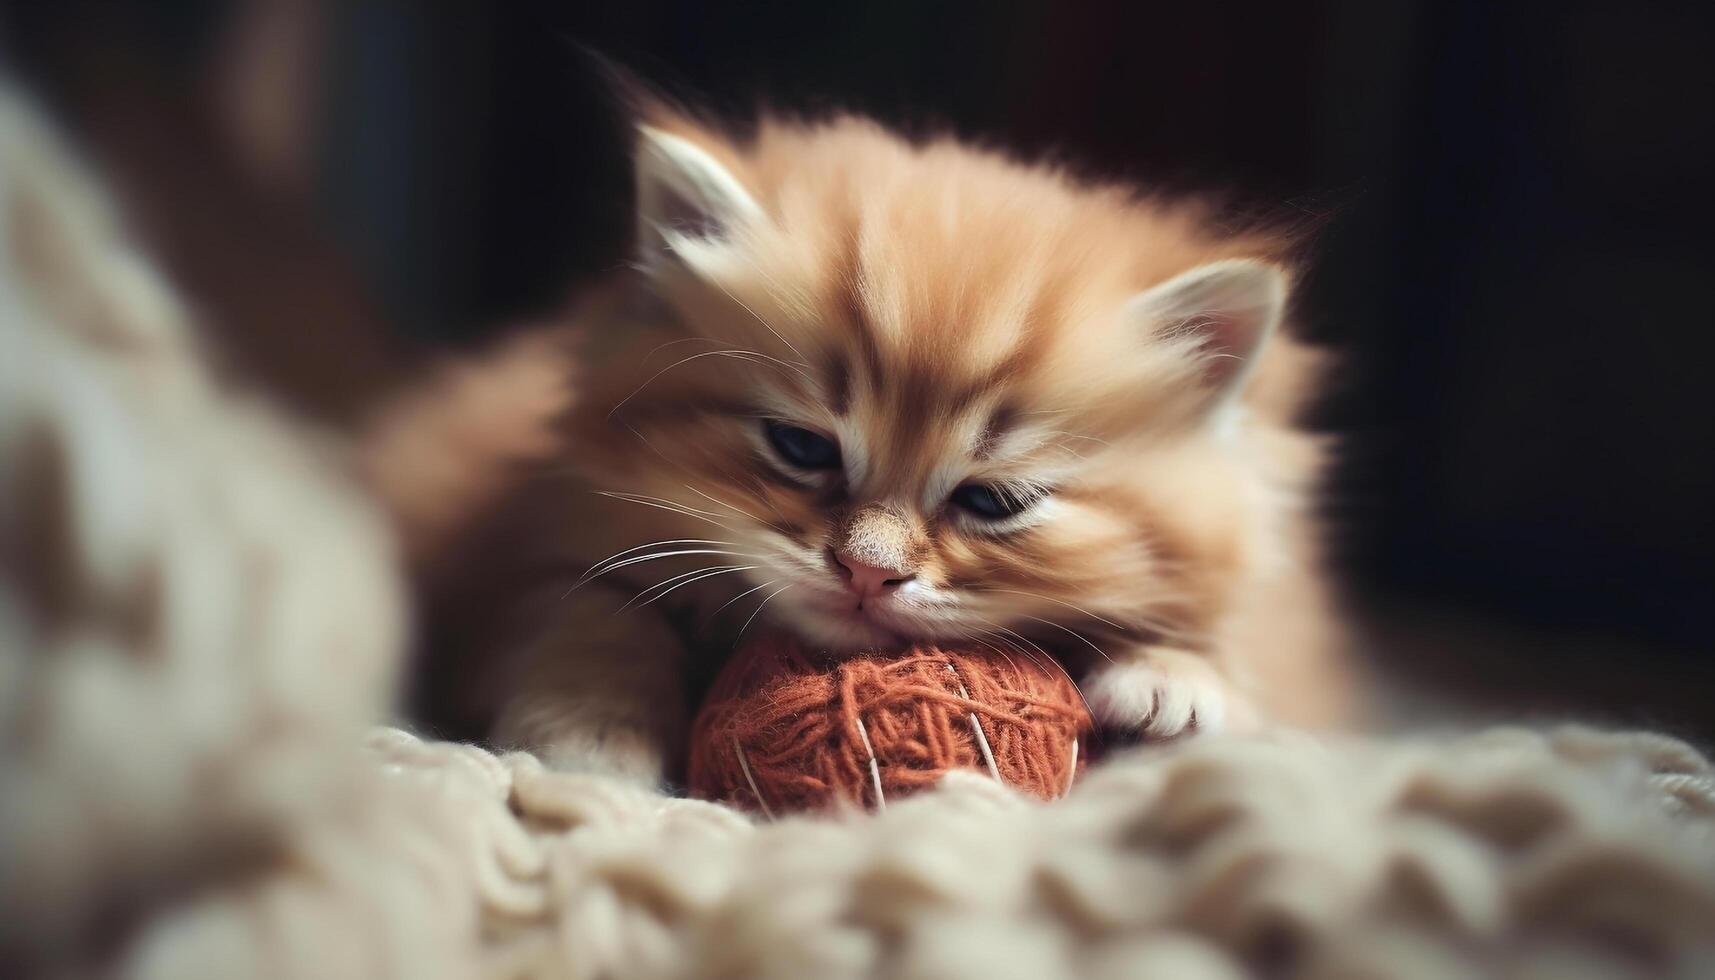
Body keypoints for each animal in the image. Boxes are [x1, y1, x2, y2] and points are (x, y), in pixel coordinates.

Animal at [379, 105, 1351, 782]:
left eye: (990, 500)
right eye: (800, 448)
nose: (866, 573)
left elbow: (1228, 651)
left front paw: (1173, 683)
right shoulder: (531, 538)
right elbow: (596, 612)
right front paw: (589, 739)